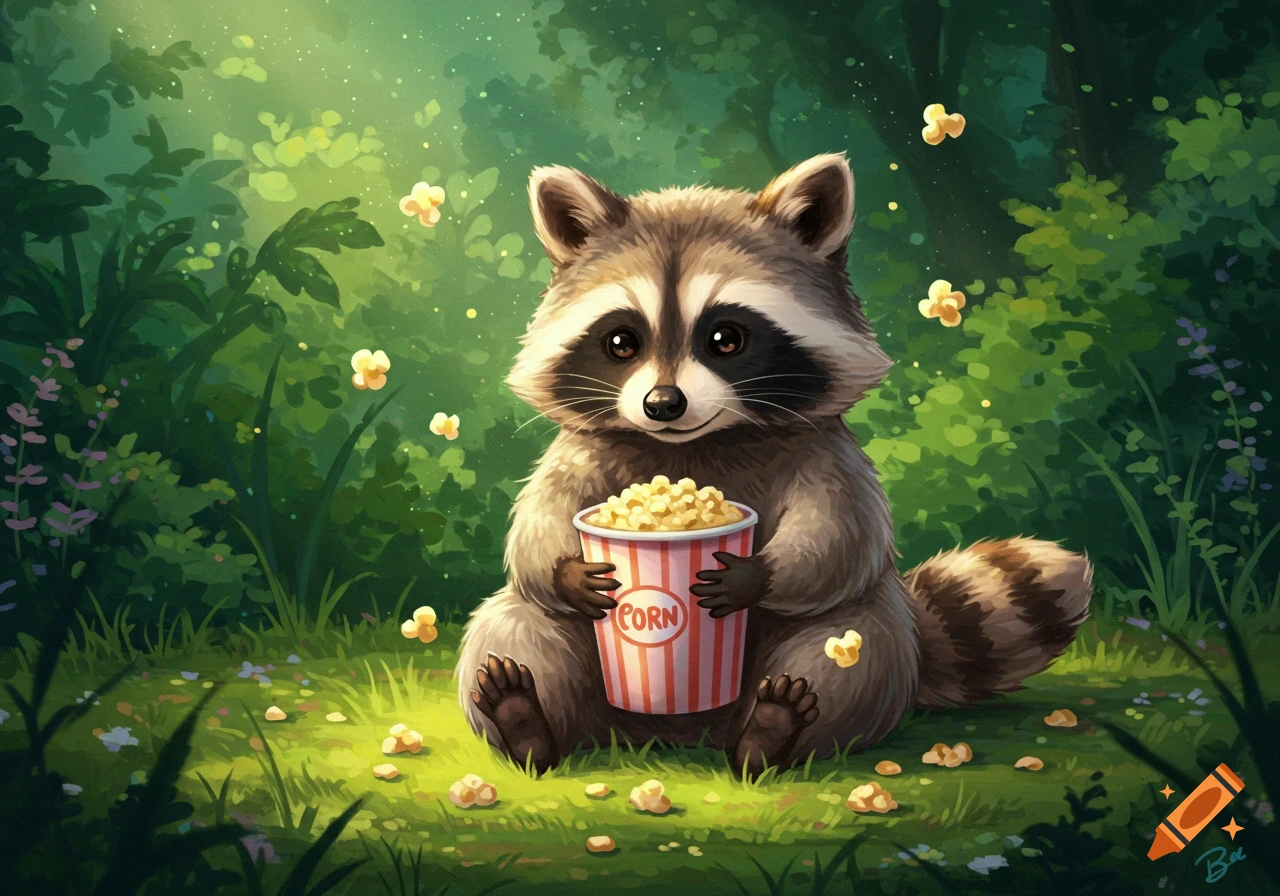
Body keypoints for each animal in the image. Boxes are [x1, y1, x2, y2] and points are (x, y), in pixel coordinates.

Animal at [455, 153, 1092, 776]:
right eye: (620, 342)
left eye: (726, 338)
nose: (662, 404)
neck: (694, 446)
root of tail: (681, 733)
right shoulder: (583, 451)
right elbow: (537, 534)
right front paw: (567, 569)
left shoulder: (827, 453)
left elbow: (839, 540)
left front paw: (754, 575)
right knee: (514, 625)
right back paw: (524, 721)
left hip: (872, 639)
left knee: (853, 644)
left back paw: (772, 733)